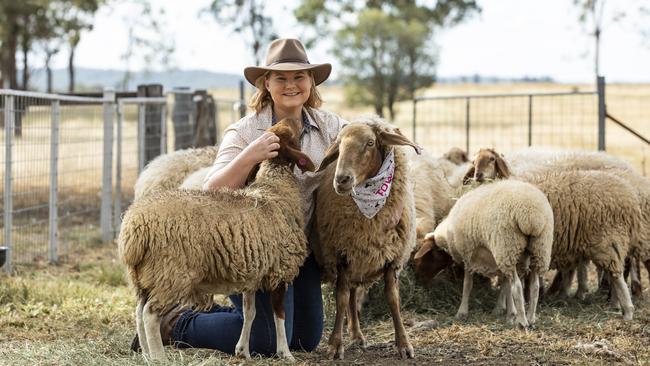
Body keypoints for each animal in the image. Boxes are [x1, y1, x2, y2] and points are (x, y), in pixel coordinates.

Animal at [119, 118, 318, 360]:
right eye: (291, 132)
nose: (293, 119)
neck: (276, 188)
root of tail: (133, 230)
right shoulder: (280, 270)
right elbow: (279, 316)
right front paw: (285, 352)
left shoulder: (253, 271)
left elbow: (250, 313)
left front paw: (243, 351)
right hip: (171, 273)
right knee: (150, 314)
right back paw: (159, 358)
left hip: (146, 276)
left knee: (139, 312)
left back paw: (147, 354)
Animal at [312, 117, 420, 360]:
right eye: (338, 145)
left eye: (370, 143)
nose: (341, 180)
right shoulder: (341, 254)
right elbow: (341, 297)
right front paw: (335, 344)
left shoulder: (391, 257)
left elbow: (393, 298)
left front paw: (403, 343)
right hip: (354, 258)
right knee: (350, 294)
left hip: (361, 258)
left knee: (355, 294)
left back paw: (357, 334)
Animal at [412, 179, 548, 326]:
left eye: (425, 257)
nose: (418, 279)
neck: (449, 236)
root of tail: (532, 216)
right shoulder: (499, 260)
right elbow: (506, 287)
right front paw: (509, 314)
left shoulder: (469, 256)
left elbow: (467, 285)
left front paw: (462, 312)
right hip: (539, 249)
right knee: (535, 286)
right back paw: (531, 318)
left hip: (507, 247)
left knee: (517, 287)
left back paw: (522, 322)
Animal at [466, 147, 636, 318]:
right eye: (473, 161)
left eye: (492, 159)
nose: (478, 175)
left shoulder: (506, 244)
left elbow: (507, 282)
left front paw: (501, 307)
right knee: (614, 272)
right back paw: (614, 303)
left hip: (605, 240)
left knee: (617, 274)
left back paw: (626, 309)